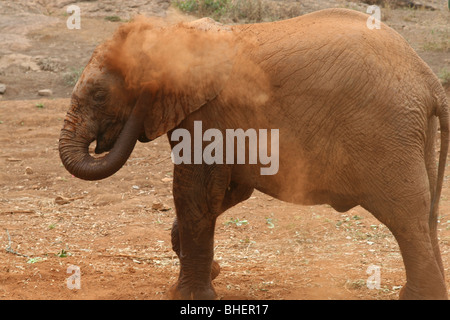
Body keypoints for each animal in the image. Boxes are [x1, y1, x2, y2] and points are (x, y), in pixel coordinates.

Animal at [60, 8, 450, 298]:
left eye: (99, 96)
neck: (172, 33)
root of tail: (430, 81)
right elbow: (228, 191)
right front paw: (211, 271)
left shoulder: (208, 114)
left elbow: (195, 193)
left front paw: (188, 295)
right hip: (416, 133)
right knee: (426, 213)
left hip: (388, 131)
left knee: (405, 216)